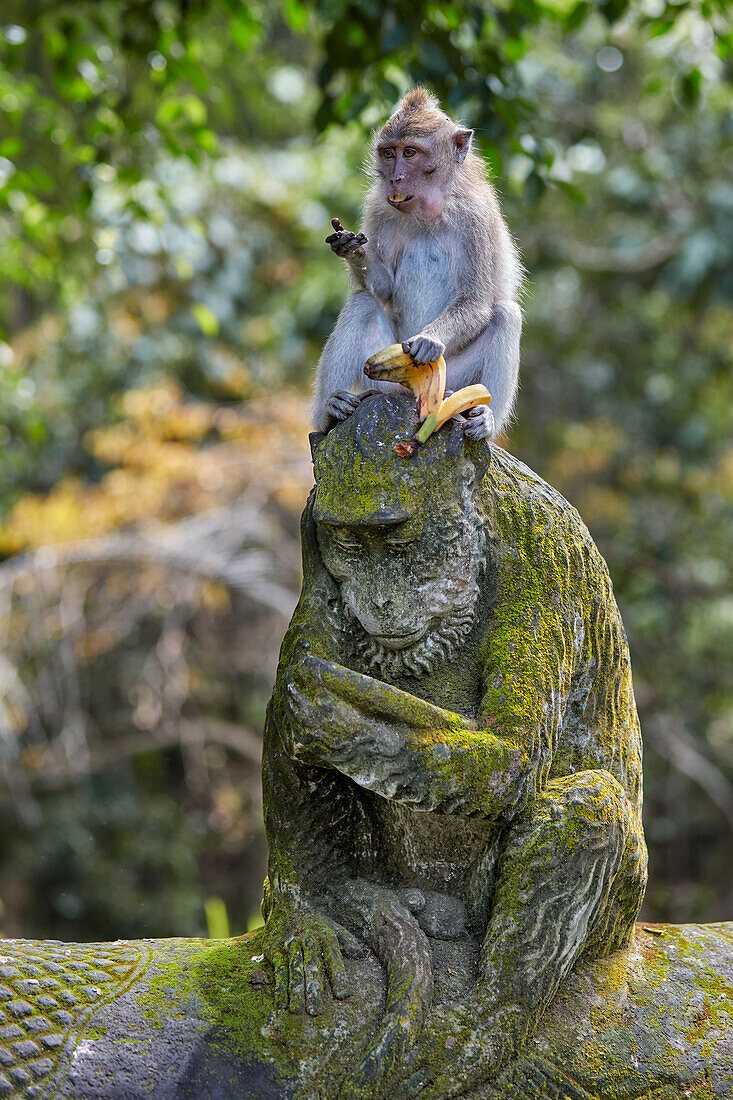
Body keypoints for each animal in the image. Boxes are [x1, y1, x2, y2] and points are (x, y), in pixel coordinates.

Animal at [310, 86, 521, 442]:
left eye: (410, 153)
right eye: (389, 153)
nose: (395, 178)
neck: (428, 211)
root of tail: (410, 397)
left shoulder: (475, 217)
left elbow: (476, 301)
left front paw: (429, 341)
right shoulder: (378, 207)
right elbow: (382, 288)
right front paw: (351, 249)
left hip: (452, 378)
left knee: (506, 315)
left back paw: (485, 418)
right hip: (383, 380)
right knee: (362, 302)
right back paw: (329, 412)